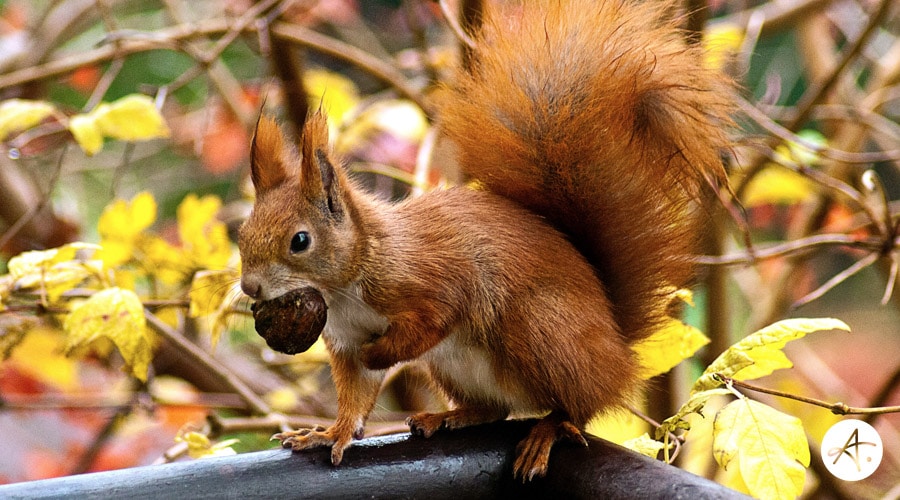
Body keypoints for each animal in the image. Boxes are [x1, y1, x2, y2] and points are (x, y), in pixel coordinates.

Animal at [239, 0, 732, 480]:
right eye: (243, 234)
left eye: (300, 240)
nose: (249, 287)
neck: (348, 283)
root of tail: (616, 347)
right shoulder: (343, 340)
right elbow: (355, 396)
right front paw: (330, 434)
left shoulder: (431, 279)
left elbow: (432, 321)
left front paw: (381, 353)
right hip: (459, 367)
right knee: (497, 411)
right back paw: (451, 416)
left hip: (541, 331)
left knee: (579, 406)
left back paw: (547, 430)